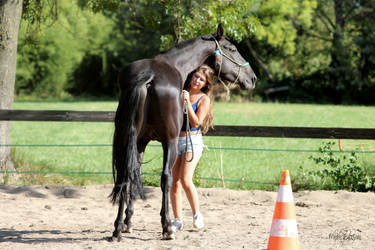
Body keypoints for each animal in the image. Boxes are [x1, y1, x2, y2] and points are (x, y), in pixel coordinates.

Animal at [108, 24, 256, 241]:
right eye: (232, 49)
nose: (252, 78)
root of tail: (148, 77)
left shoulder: (140, 142)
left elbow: (135, 174)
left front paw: (128, 223)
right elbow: (162, 179)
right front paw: (165, 226)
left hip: (126, 139)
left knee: (124, 177)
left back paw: (117, 228)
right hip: (168, 142)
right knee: (165, 178)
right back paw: (167, 227)